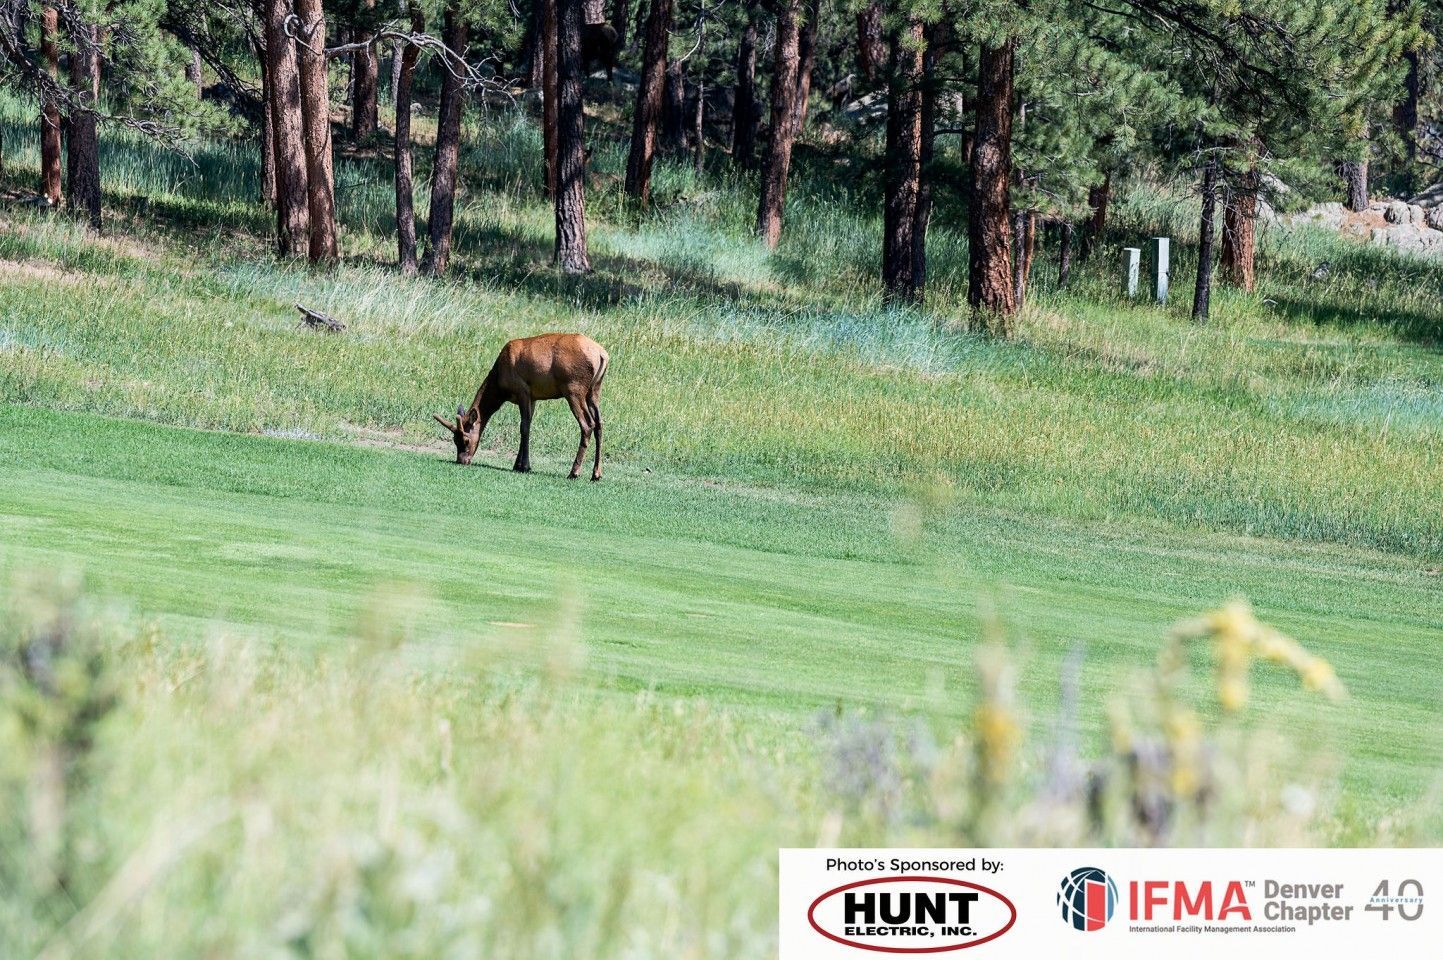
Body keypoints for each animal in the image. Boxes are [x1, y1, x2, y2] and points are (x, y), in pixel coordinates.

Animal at [434, 333, 609, 481]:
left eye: (465, 440)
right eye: (454, 440)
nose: (461, 460)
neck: (500, 384)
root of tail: (602, 354)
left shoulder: (522, 390)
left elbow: (523, 427)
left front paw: (523, 466)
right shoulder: (533, 397)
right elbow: (528, 426)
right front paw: (518, 464)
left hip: (573, 388)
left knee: (587, 424)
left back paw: (574, 472)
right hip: (594, 390)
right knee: (599, 423)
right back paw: (596, 474)